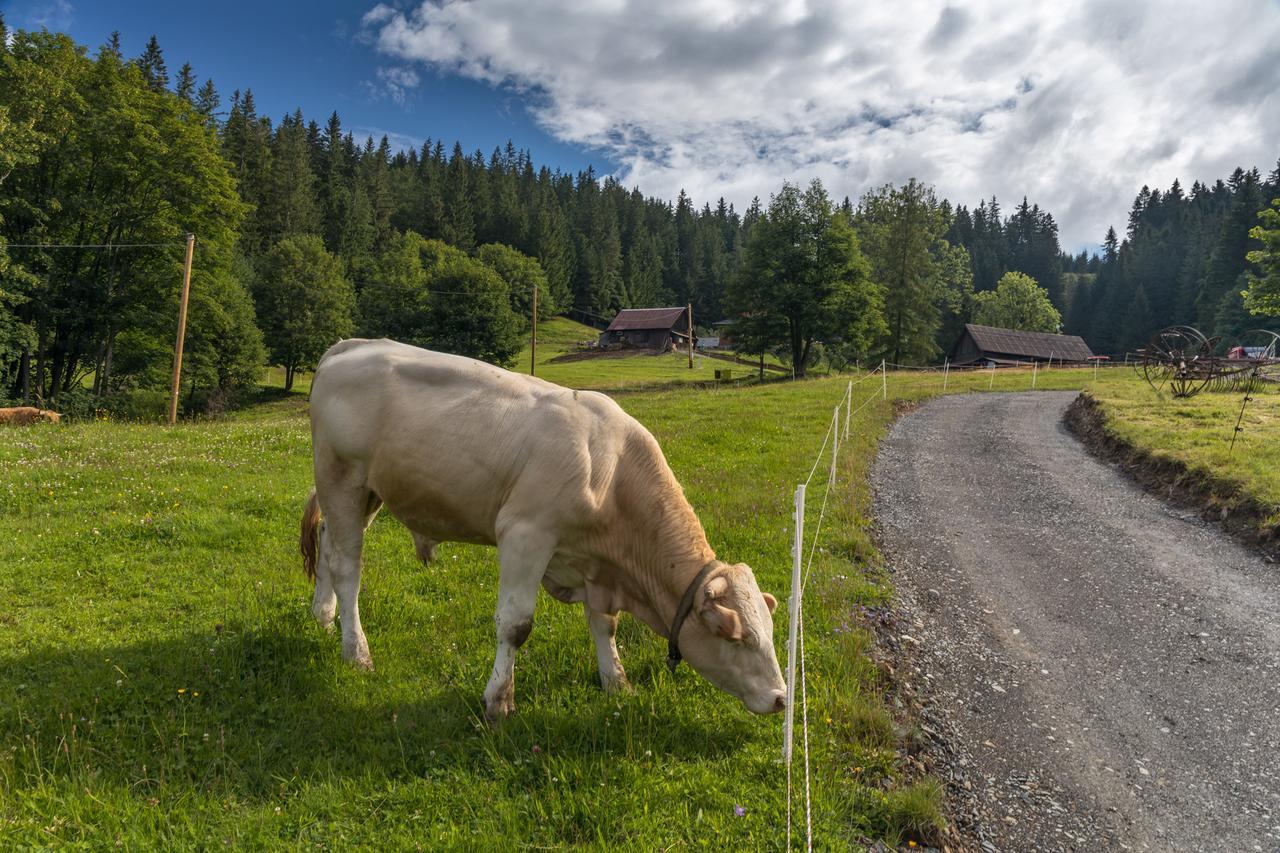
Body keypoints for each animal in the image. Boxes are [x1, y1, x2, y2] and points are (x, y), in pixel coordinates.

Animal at [302, 338, 788, 717]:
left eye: (769, 629)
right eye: (734, 635)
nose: (782, 697)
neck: (612, 474)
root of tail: (350, 346)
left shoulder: (595, 568)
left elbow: (604, 624)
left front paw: (616, 681)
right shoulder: (524, 535)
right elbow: (516, 624)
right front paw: (498, 701)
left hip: (368, 491)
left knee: (328, 543)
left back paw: (323, 616)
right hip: (341, 477)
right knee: (347, 567)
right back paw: (356, 652)